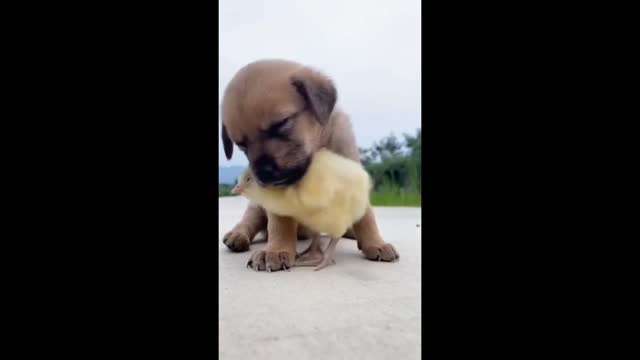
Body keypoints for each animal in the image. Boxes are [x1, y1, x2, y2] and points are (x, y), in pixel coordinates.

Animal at [222, 59, 398, 272]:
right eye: (241, 145)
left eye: (281, 124)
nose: (264, 174)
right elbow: (280, 222)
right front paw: (277, 250)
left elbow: (367, 217)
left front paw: (376, 243)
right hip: (256, 208)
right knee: (249, 222)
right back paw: (237, 235)